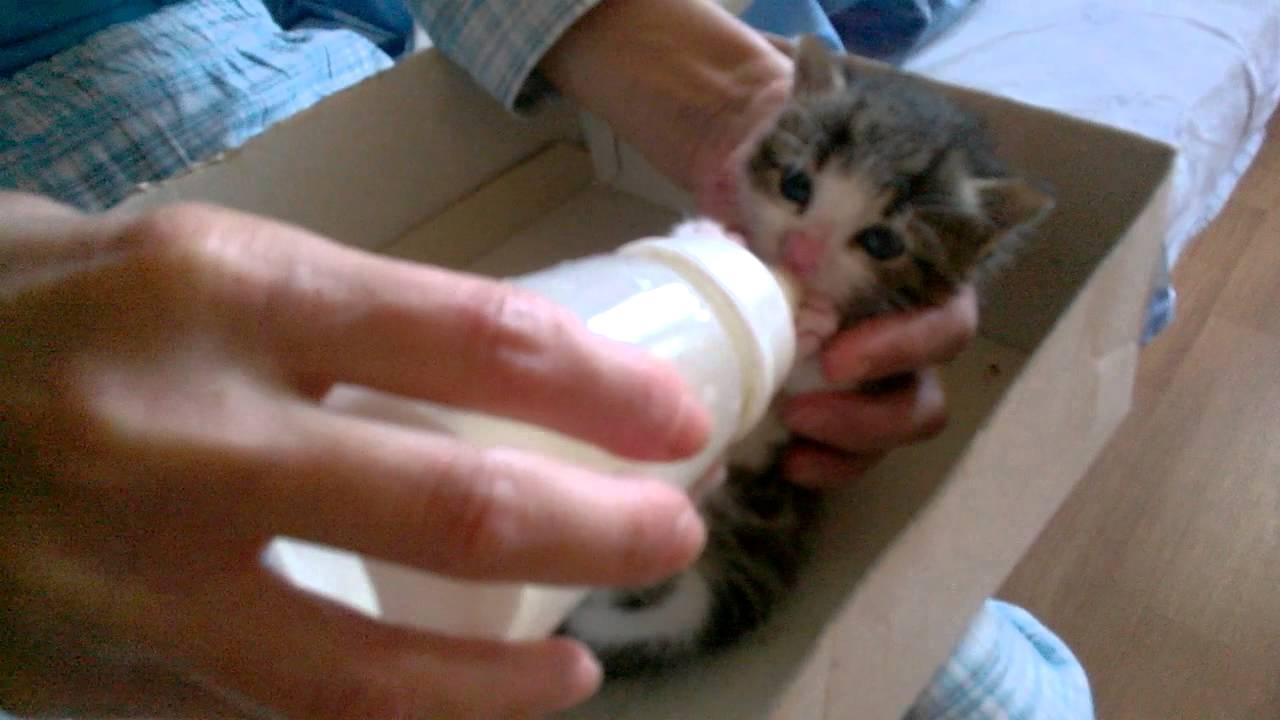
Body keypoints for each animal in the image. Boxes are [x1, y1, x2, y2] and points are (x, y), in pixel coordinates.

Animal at [560, 35, 1049, 671]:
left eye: (881, 241)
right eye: (797, 185)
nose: (799, 251)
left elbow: (818, 378)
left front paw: (812, 329)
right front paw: (711, 240)